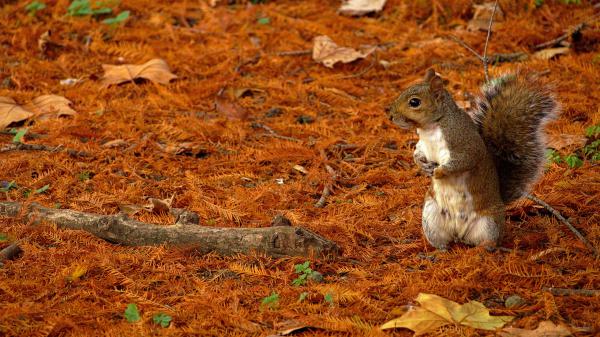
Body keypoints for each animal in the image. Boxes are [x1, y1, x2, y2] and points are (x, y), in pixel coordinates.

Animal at [390, 69, 556, 249]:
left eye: (414, 102)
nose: (391, 115)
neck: (430, 128)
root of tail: (460, 235)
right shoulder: (423, 145)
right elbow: (417, 153)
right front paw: (423, 166)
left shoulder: (464, 143)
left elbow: (464, 161)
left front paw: (439, 172)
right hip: (431, 216)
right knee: (441, 241)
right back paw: (438, 251)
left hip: (489, 223)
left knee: (488, 243)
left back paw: (484, 250)